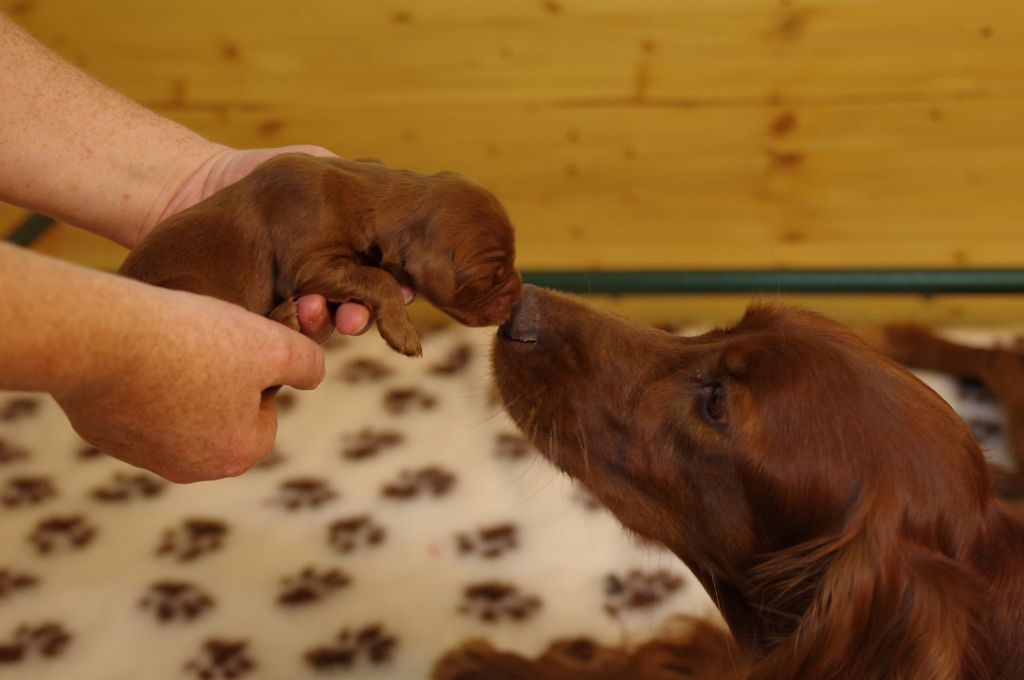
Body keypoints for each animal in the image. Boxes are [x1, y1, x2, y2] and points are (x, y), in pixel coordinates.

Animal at [117, 153, 520, 356]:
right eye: (489, 277)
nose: (517, 298)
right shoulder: (307, 263)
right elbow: (379, 278)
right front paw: (403, 332)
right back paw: (284, 316)